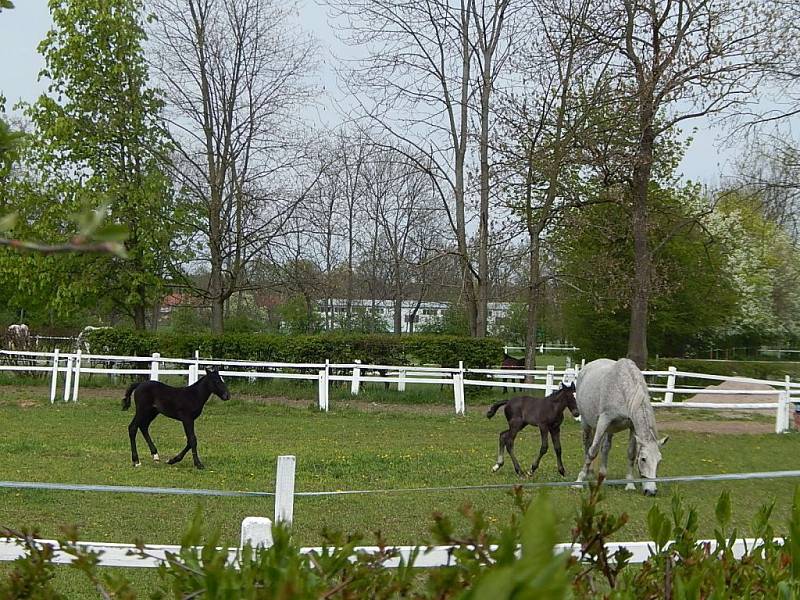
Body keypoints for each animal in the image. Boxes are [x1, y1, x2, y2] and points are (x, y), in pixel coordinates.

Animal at [576, 358, 668, 494]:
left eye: (659, 460)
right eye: (643, 459)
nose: (651, 491)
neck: (623, 389)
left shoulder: (632, 426)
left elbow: (631, 453)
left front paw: (630, 484)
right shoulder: (603, 420)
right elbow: (592, 451)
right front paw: (579, 480)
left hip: (609, 430)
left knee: (605, 448)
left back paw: (603, 477)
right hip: (587, 423)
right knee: (588, 445)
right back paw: (589, 473)